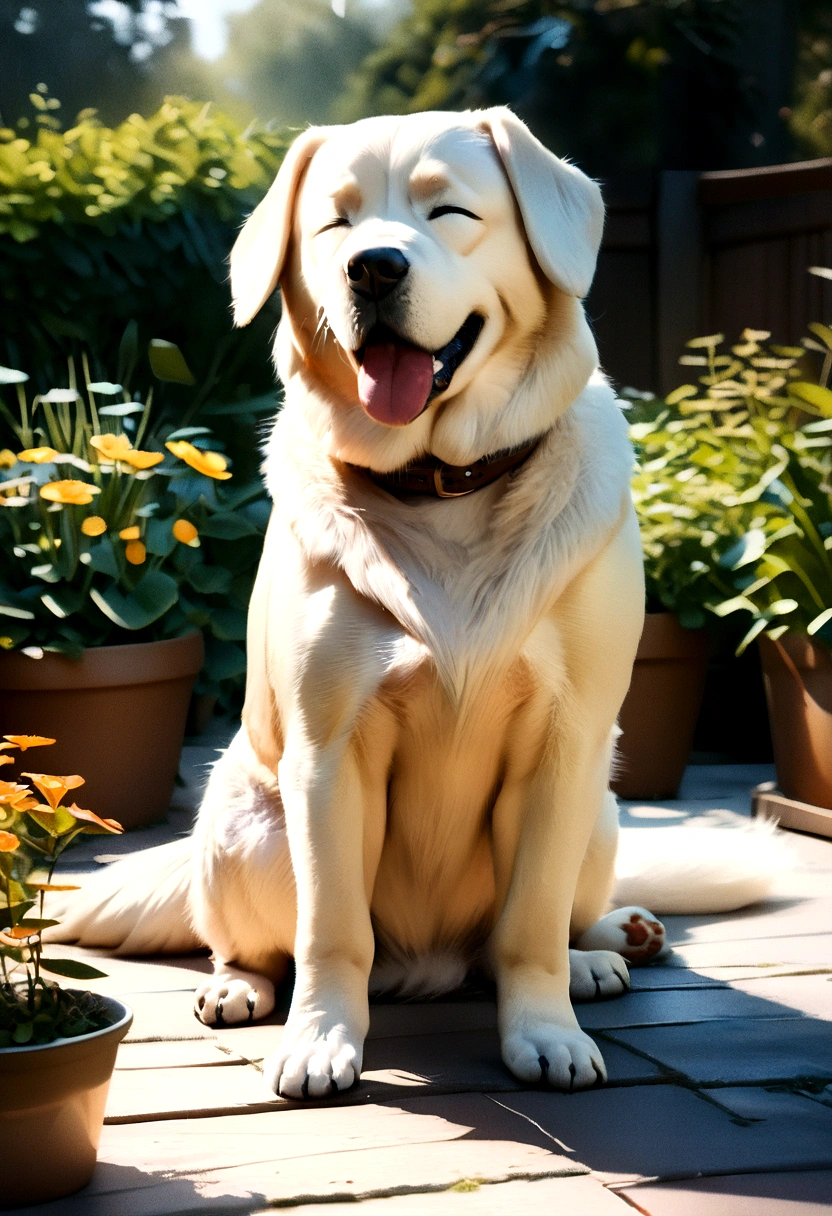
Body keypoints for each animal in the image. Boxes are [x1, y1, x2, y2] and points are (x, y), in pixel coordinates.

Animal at [53, 109, 788, 1104]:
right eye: (334, 224)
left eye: (450, 212)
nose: (373, 267)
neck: (442, 485)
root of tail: (431, 968)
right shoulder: (329, 755)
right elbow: (332, 932)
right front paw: (321, 1039)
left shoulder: (565, 744)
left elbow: (528, 926)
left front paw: (546, 1029)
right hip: (248, 824)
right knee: (249, 940)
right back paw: (240, 988)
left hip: (599, 804)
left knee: (553, 920)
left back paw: (606, 946)